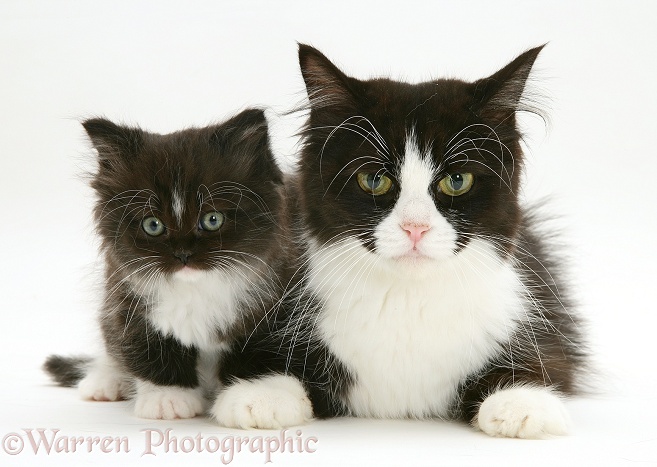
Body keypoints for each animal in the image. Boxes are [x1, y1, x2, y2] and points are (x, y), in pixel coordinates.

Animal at [42, 109, 286, 420]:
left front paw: (250, 391)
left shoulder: (274, 301)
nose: (183, 254)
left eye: (212, 219)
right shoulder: (124, 297)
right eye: (153, 225)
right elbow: (147, 348)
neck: (195, 288)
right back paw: (105, 380)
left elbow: (255, 352)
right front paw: (168, 398)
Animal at [213, 44, 588, 438]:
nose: (415, 227)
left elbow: (543, 363)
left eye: (458, 181)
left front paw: (521, 401)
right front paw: (260, 395)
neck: (407, 296)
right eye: (374, 180)